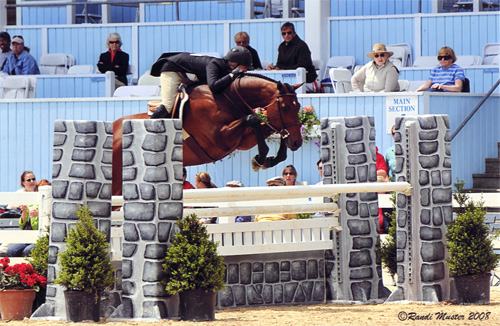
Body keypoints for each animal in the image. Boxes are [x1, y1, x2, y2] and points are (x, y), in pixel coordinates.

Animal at [111, 74, 302, 195]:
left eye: (298, 106)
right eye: (285, 107)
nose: (297, 143)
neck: (227, 98)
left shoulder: (241, 141)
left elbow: (264, 124)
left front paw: (268, 159)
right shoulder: (218, 141)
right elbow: (253, 118)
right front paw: (261, 158)